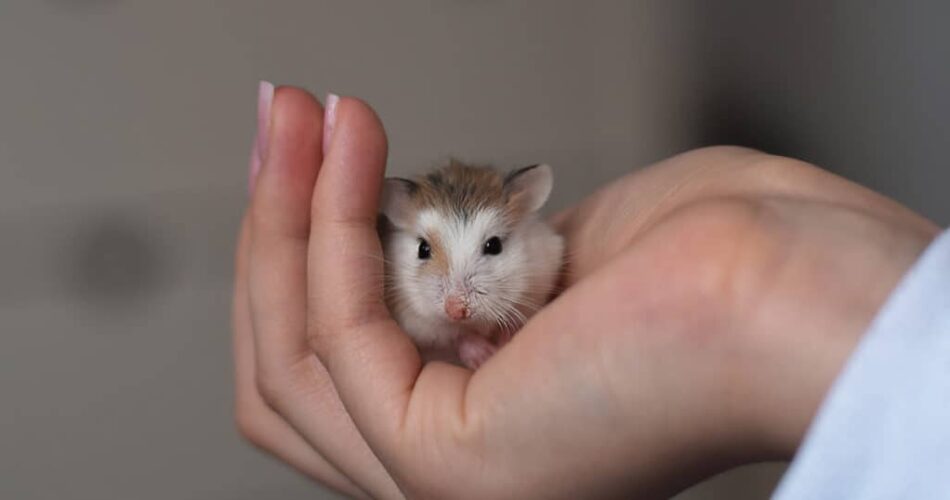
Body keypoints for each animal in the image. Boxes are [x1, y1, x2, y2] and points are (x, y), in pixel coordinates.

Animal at [378, 162, 564, 370]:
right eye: (423, 249)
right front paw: (483, 354)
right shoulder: (413, 319)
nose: (456, 311)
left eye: (494, 245)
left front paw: (503, 339)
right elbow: (456, 336)